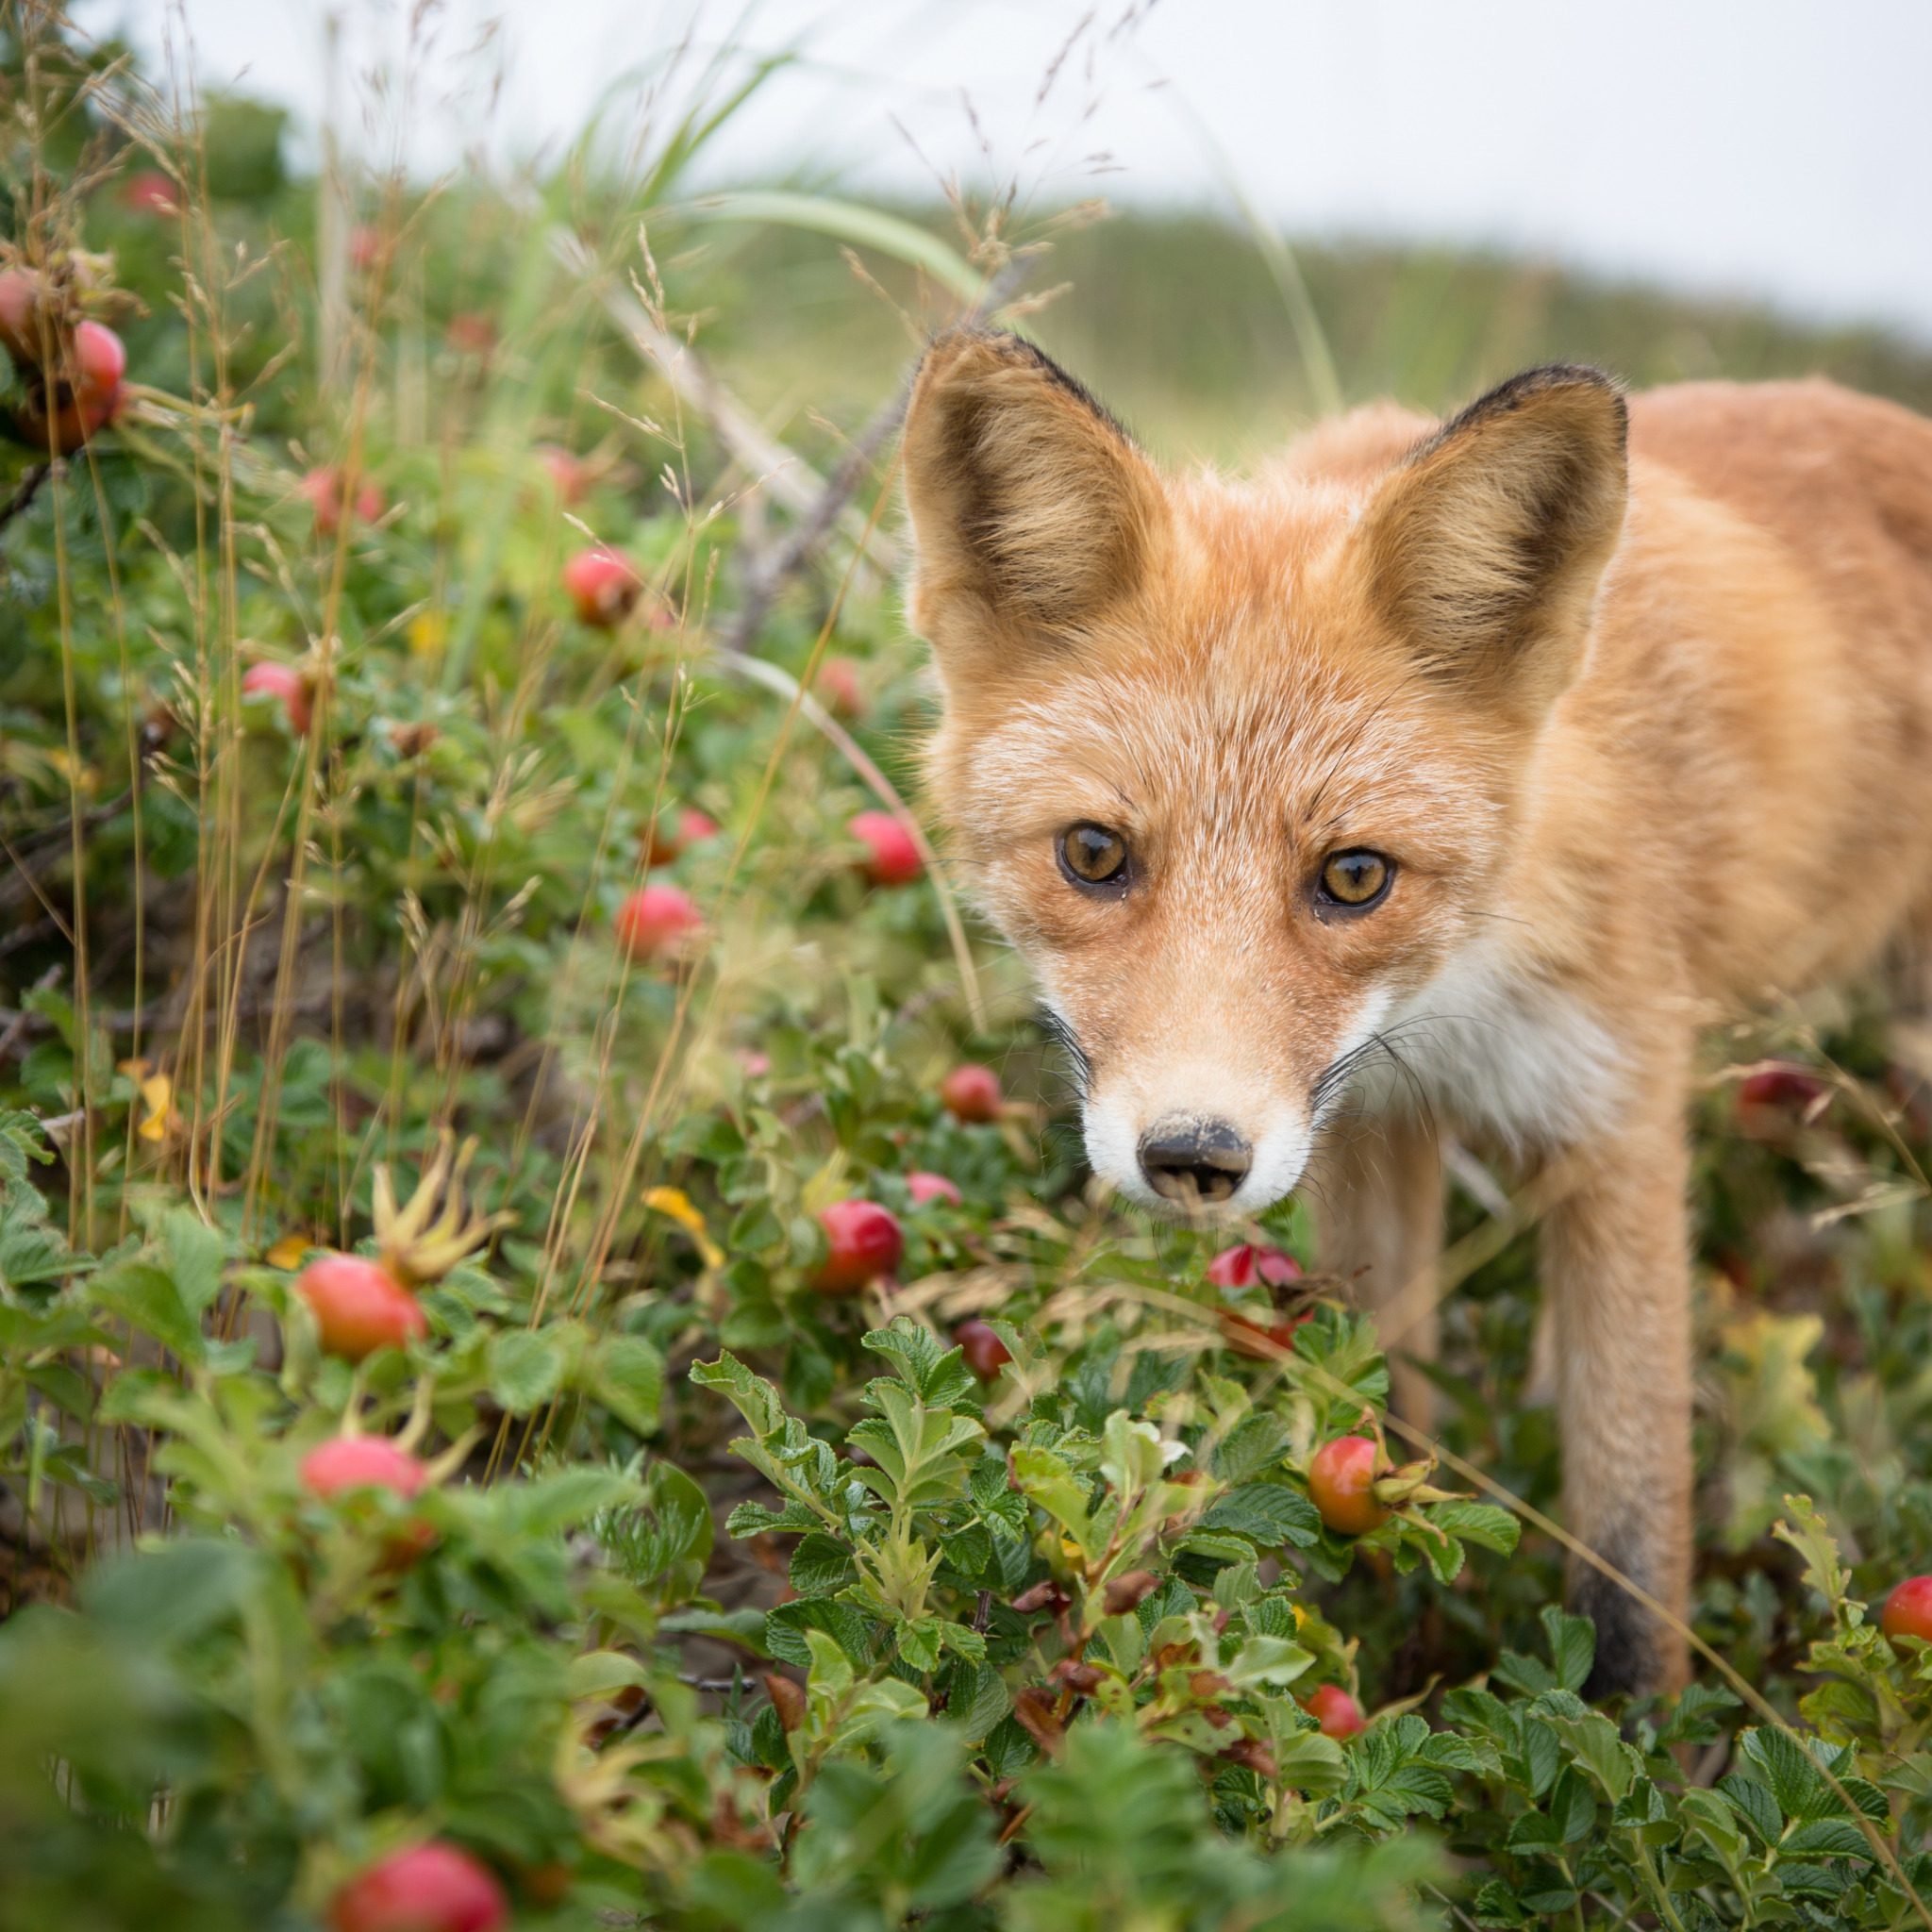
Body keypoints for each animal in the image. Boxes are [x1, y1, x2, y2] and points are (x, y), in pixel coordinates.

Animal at [892, 332, 1932, 1692]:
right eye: (1094, 854)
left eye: (1353, 876)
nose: (1194, 1156)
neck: (1461, 992)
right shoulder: (1368, 1126)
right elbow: (1363, 1418)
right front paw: (1361, 1629)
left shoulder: (1616, 1117)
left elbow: (1630, 1519)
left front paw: (1629, 1729)